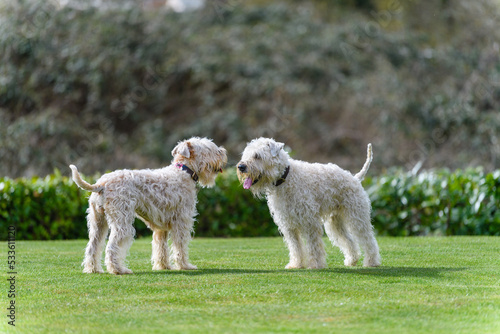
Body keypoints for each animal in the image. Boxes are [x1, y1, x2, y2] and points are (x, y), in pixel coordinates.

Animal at [70, 137, 227, 276]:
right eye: (209, 149)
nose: (224, 152)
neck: (184, 172)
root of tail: (101, 184)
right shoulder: (182, 221)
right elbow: (180, 246)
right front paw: (185, 266)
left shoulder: (161, 228)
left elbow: (161, 248)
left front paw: (164, 266)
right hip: (122, 222)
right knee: (112, 247)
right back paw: (119, 270)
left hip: (98, 221)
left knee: (93, 246)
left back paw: (93, 269)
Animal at [236, 138, 380, 268]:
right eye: (246, 155)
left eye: (257, 156)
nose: (241, 167)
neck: (285, 179)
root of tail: (355, 178)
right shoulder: (288, 224)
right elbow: (295, 247)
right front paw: (296, 264)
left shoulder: (309, 222)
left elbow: (313, 246)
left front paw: (315, 264)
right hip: (335, 223)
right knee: (349, 241)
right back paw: (351, 261)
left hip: (357, 217)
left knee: (368, 240)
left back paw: (372, 262)